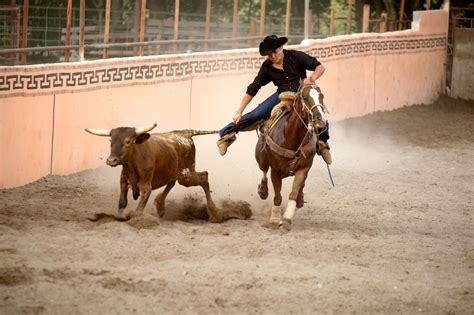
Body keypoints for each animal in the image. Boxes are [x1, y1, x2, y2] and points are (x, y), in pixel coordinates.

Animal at [256, 83, 326, 232]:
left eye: (321, 96)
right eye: (305, 97)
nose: (320, 120)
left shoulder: (304, 168)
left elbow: (294, 191)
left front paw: (287, 217)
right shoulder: (275, 170)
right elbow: (277, 196)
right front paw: (274, 219)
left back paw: (300, 199)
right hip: (261, 159)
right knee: (264, 171)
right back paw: (263, 190)